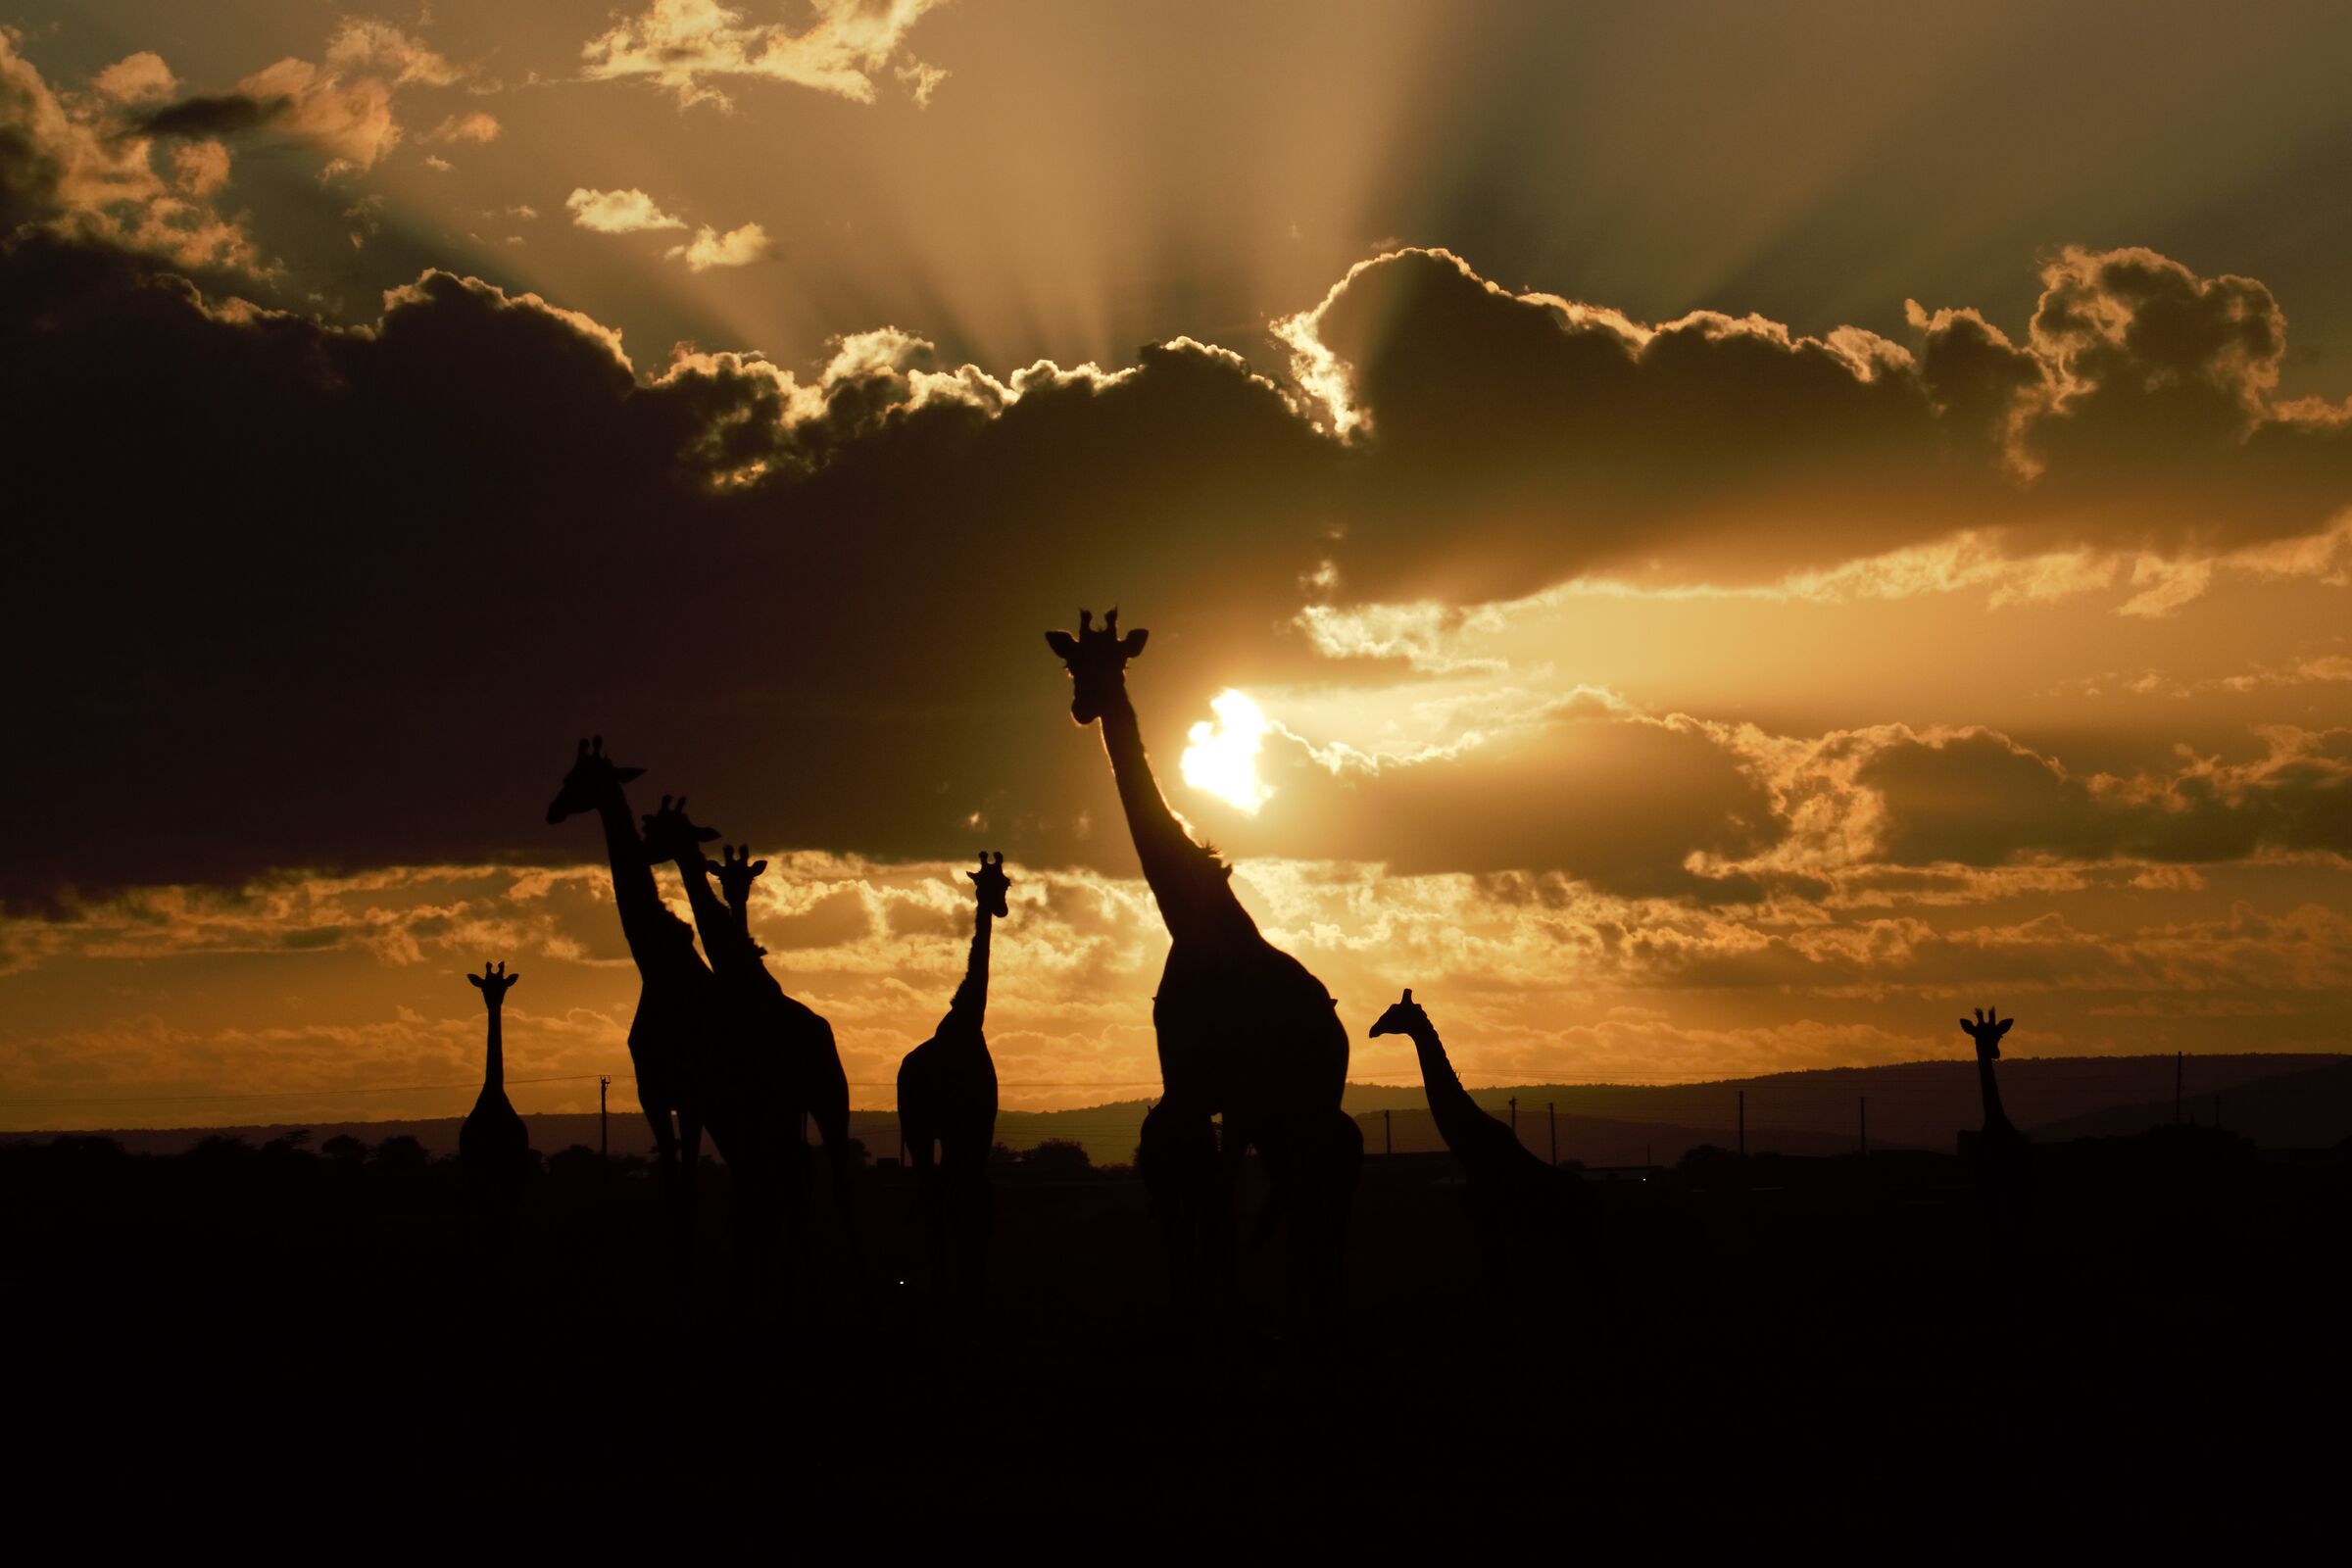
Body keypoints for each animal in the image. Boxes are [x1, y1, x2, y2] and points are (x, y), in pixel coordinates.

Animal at [545, 736, 709, 1273]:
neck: (656, 966)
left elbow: (687, 1189)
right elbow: (672, 1191)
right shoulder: (652, 1092)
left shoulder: (689, 1093)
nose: (552, 811)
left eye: (577, 778)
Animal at [640, 802, 866, 1298]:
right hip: (789, 1109)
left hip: (828, 1098)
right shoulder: (750, 1103)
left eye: (663, 828)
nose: (643, 850)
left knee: (833, 1183)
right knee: (793, 1179)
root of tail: (827, 1033)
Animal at [896, 852, 1010, 1307]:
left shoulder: (976, 1125)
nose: (1001, 908)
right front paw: (965, 1281)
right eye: (982, 882)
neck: (967, 1021)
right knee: (935, 1192)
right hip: (919, 1128)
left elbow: (979, 1195)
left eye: (1007, 883)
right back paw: (942, 1281)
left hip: (936, 1130)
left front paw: (973, 1280)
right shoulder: (967, 1123)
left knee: (940, 1191)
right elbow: (969, 1196)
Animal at [1045, 608, 1358, 1329]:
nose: (1084, 706)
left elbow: (1216, 1207)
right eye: (1073, 663)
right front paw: (1201, 1309)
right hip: (1279, 1115)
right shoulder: (1186, 1084)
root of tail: (1338, 1030)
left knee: (1311, 1201)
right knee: (1296, 1201)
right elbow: (1201, 1208)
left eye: (1118, 663)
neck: (1188, 922)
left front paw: (1224, 1314)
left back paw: (1316, 1312)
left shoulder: (1231, 1091)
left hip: (1307, 1102)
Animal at [1368, 989, 1589, 1301]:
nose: (1373, 1029)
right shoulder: (1487, 1225)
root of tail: (1588, 1194)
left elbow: (1498, 1285)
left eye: (1395, 1012)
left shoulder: (1487, 1219)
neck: (1469, 1148)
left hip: (1575, 1236)